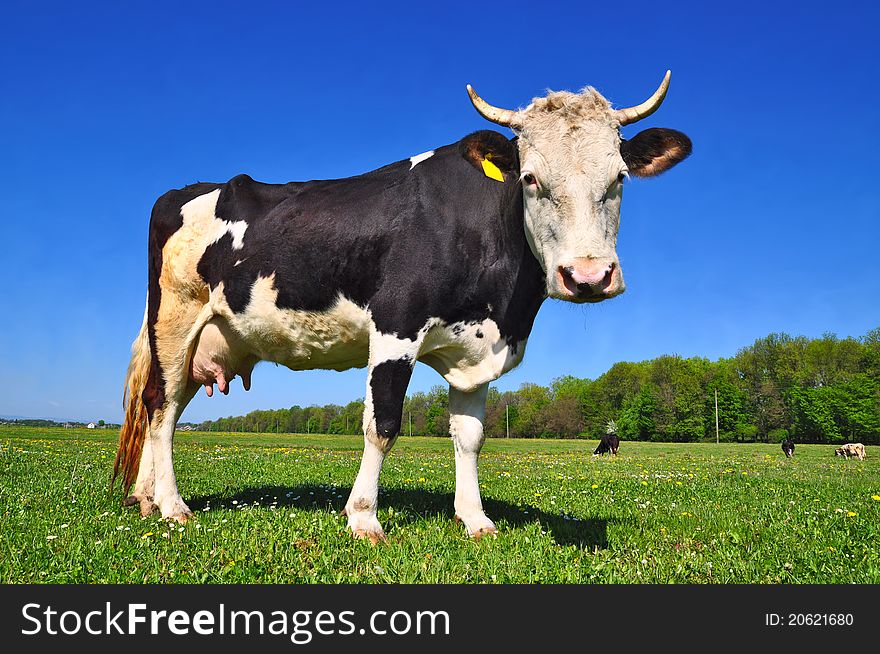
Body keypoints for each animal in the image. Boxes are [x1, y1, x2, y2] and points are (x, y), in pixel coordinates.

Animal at [113, 70, 692, 544]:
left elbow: (470, 436)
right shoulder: (396, 328)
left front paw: (475, 519)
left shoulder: (476, 349)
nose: (588, 277)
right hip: (175, 320)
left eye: (619, 178)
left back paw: (144, 498)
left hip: (207, 338)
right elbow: (383, 425)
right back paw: (171, 506)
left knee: (164, 405)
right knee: (161, 406)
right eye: (530, 178)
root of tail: (186, 190)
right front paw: (364, 518)